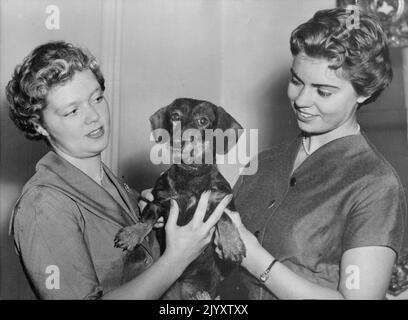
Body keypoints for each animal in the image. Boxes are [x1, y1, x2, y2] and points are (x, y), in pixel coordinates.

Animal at [114, 98, 245, 300]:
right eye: (175, 116)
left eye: (203, 120)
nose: (179, 141)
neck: (191, 177)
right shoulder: (159, 201)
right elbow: (147, 219)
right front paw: (132, 234)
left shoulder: (221, 201)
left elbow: (225, 217)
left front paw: (233, 246)